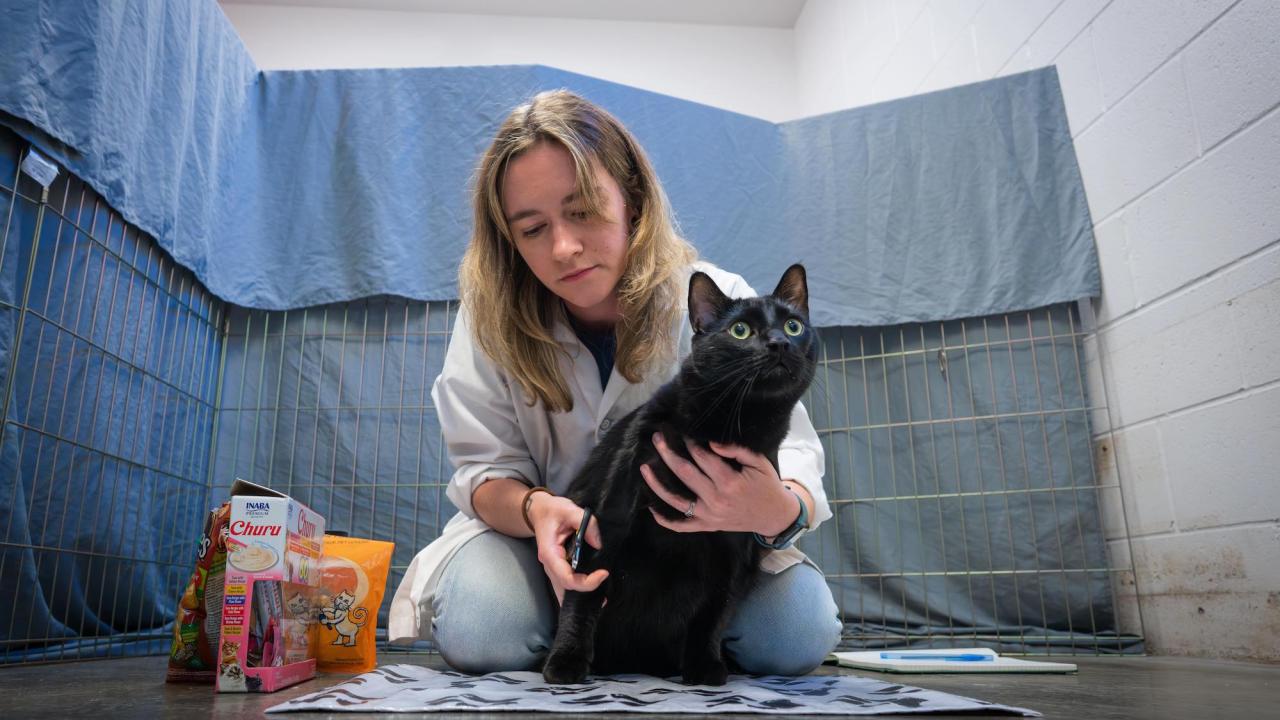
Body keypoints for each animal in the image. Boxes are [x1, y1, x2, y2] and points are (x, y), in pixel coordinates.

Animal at [540, 262, 819, 681]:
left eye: (793, 326)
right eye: (741, 330)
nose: (779, 343)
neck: (727, 426)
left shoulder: (734, 550)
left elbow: (713, 615)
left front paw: (705, 668)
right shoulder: (607, 519)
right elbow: (585, 591)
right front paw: (566, 662)